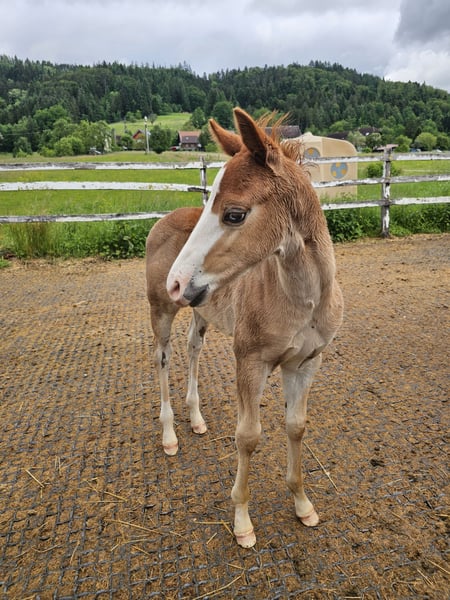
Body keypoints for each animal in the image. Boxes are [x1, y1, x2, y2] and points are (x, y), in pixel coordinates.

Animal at [145, 108, 344, 548]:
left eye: (233, 214)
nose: (176, 281)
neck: (301, 300)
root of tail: (161, 221)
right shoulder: (249, 361)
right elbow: (248, 437)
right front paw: (241, 520)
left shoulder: (306, 363)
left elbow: (296, 427)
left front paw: (302, 504)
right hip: (161, 312)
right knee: (163, 358)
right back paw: (169, 435)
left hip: (201, 313)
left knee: (192, 349)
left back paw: (196, 418)